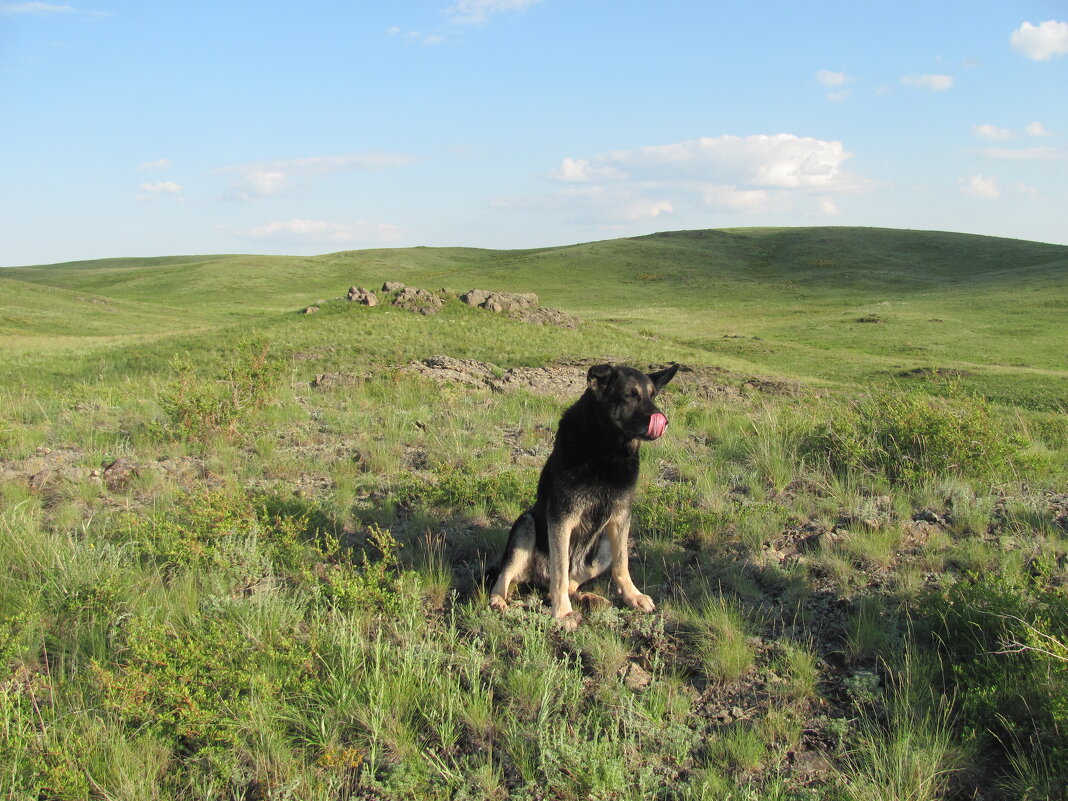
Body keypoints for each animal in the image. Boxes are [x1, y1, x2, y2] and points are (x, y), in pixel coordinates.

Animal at [489, 360, 679, 632]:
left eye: (652, 396)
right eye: (630, 395)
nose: (663, 420)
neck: (607, 451)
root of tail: (537, 579)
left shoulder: (621, 517)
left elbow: (622, 565)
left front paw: (632, 596)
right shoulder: (561, 517)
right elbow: (560, 570)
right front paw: (562, 613)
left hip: (603, 547)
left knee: (570, 583)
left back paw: (590, 598)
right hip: (525, 525)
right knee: (507, 577)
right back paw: (500, 601)